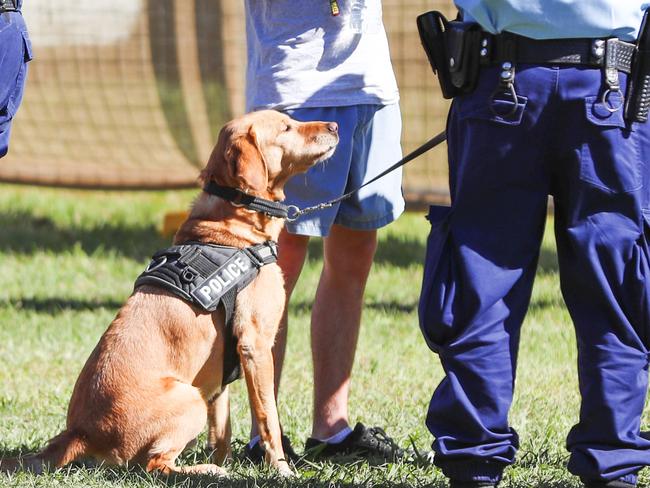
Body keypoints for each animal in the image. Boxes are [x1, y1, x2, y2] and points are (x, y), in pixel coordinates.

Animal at [2, 109, 340, 476]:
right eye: (286, 128)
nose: (335, 126)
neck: (234, 227)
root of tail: (79, 432)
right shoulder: (255, 344)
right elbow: (268, 419)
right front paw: (281, 470)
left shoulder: (221, 372)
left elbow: (221, 433)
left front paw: (229, 463)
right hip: (189, 397)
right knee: (155, 464)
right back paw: (204, 471)